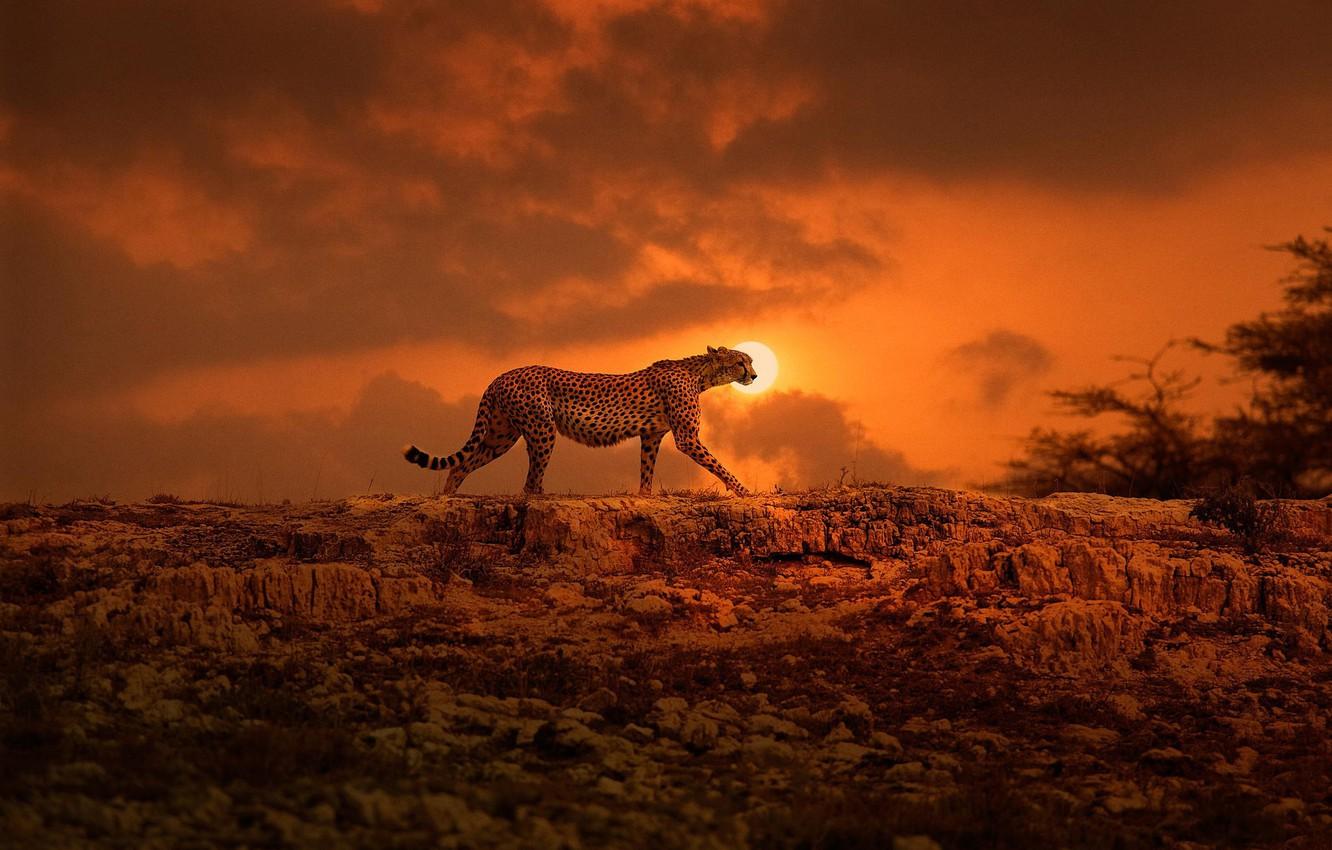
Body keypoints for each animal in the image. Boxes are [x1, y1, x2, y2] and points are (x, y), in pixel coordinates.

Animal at [403, 345, 757, 496]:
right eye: (742, 361)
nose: (754, 375)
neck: (701, 374)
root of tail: (501, 375)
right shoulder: (687, 438)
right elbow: (718, 464)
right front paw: (743, 490)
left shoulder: (652, 435)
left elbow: (647, 468)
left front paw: (645, 496)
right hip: (541, 429)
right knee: (529, 483)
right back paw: (543, 496)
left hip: (501, 436)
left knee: (462, 465)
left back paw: (446, 499)